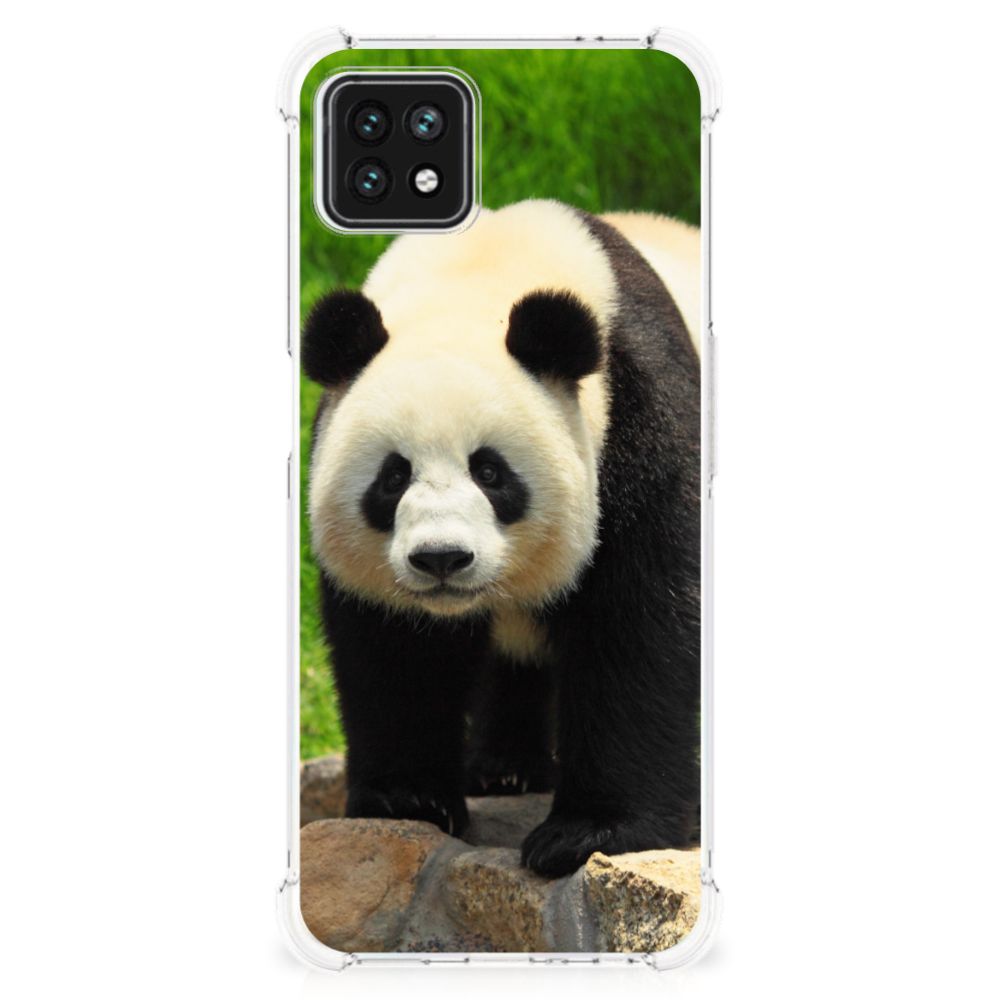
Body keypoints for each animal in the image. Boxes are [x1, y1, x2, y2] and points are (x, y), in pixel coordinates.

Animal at [303, 199, 701, 878]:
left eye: (490, 472)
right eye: (393, 476)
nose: (441, 558)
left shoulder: (641, 418)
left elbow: (641, 624)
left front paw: (588, 832)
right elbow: (394, 649)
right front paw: (408, 800)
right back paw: (505, 769)